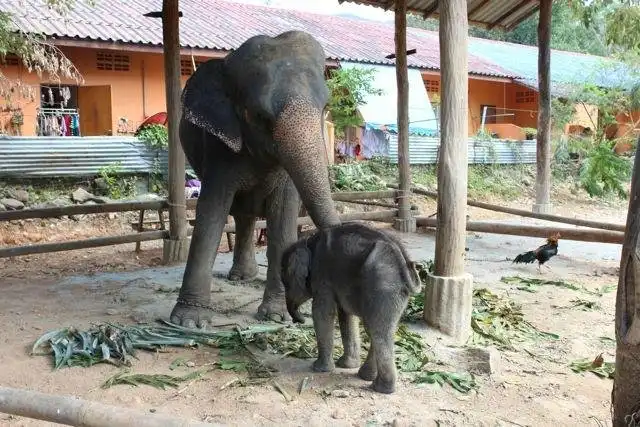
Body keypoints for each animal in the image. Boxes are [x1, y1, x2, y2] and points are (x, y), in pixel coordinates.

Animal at [170, 30, 341, 328]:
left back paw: (246, 277)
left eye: (325, 108)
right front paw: (188, 322)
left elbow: (283, 215)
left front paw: (276, 316)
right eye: (259, 116)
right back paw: (241, 277)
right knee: (240, 213)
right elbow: (211, 212)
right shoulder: (218, 147)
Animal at [281, 222, 422, 394]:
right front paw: (346, 365)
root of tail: (405, 264)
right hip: (395, 293)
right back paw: (367, 377)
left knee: (377, 330)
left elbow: (322, 312)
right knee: (379, 329)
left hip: (382, 286)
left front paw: (319, 369)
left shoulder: (322, 275)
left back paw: (380, 388)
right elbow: (346, 314)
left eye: (286, 283)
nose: (298, 321)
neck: (308, 241)